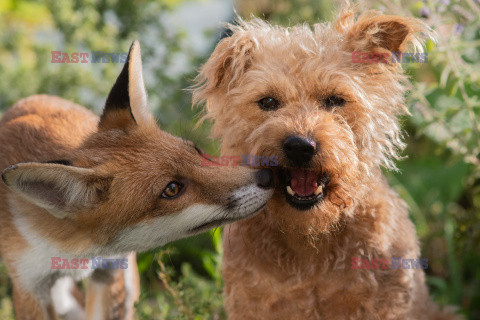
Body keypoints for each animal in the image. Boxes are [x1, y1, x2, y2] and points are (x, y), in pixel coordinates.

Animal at [0, 40, 274, 320]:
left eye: (196, 150)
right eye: (172, 189)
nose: (268, 175)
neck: (77, 249)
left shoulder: (109, 270)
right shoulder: (29, 286)